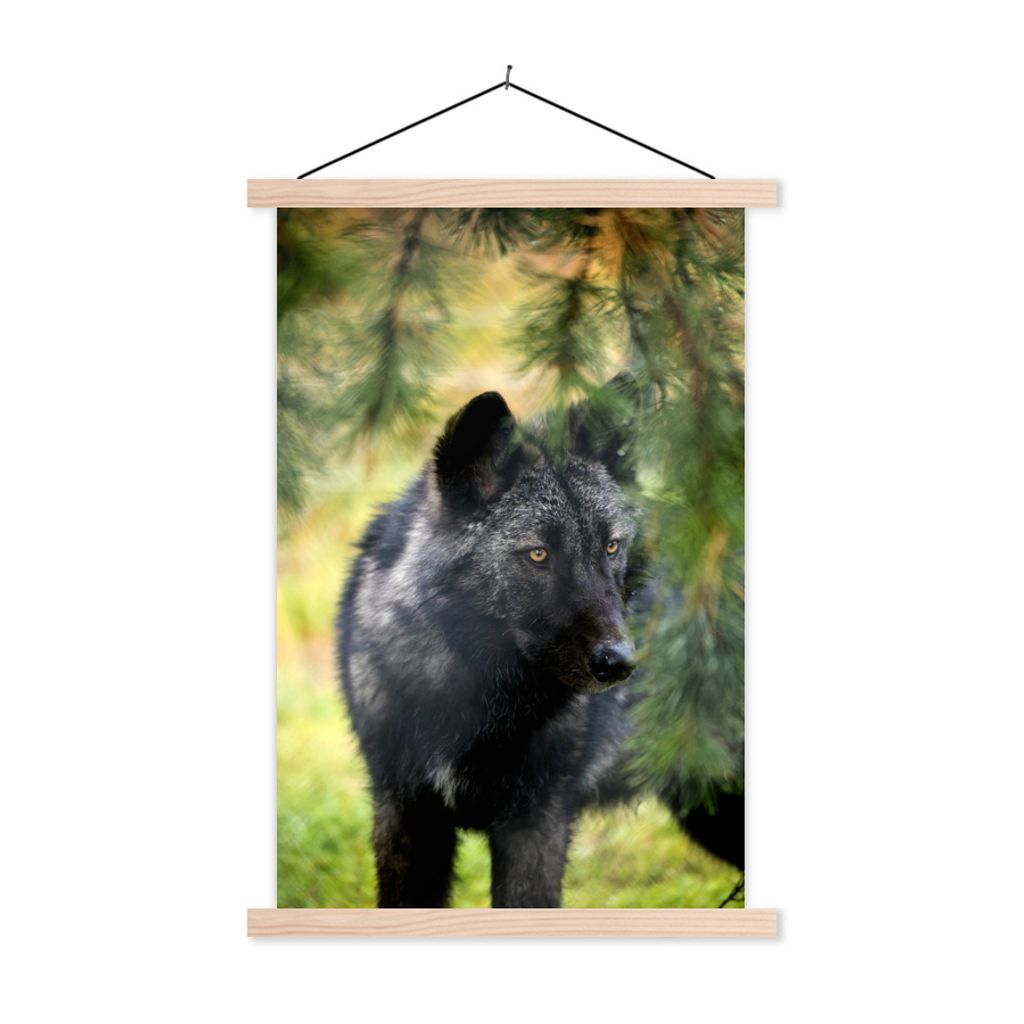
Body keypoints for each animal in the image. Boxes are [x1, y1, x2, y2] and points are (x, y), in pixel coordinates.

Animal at [338, 388, 739, 907]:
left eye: (610, 547)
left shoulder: (537, 823)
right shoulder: (406, 812)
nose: (620, 662)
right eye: (538, 554)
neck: (474, 704)